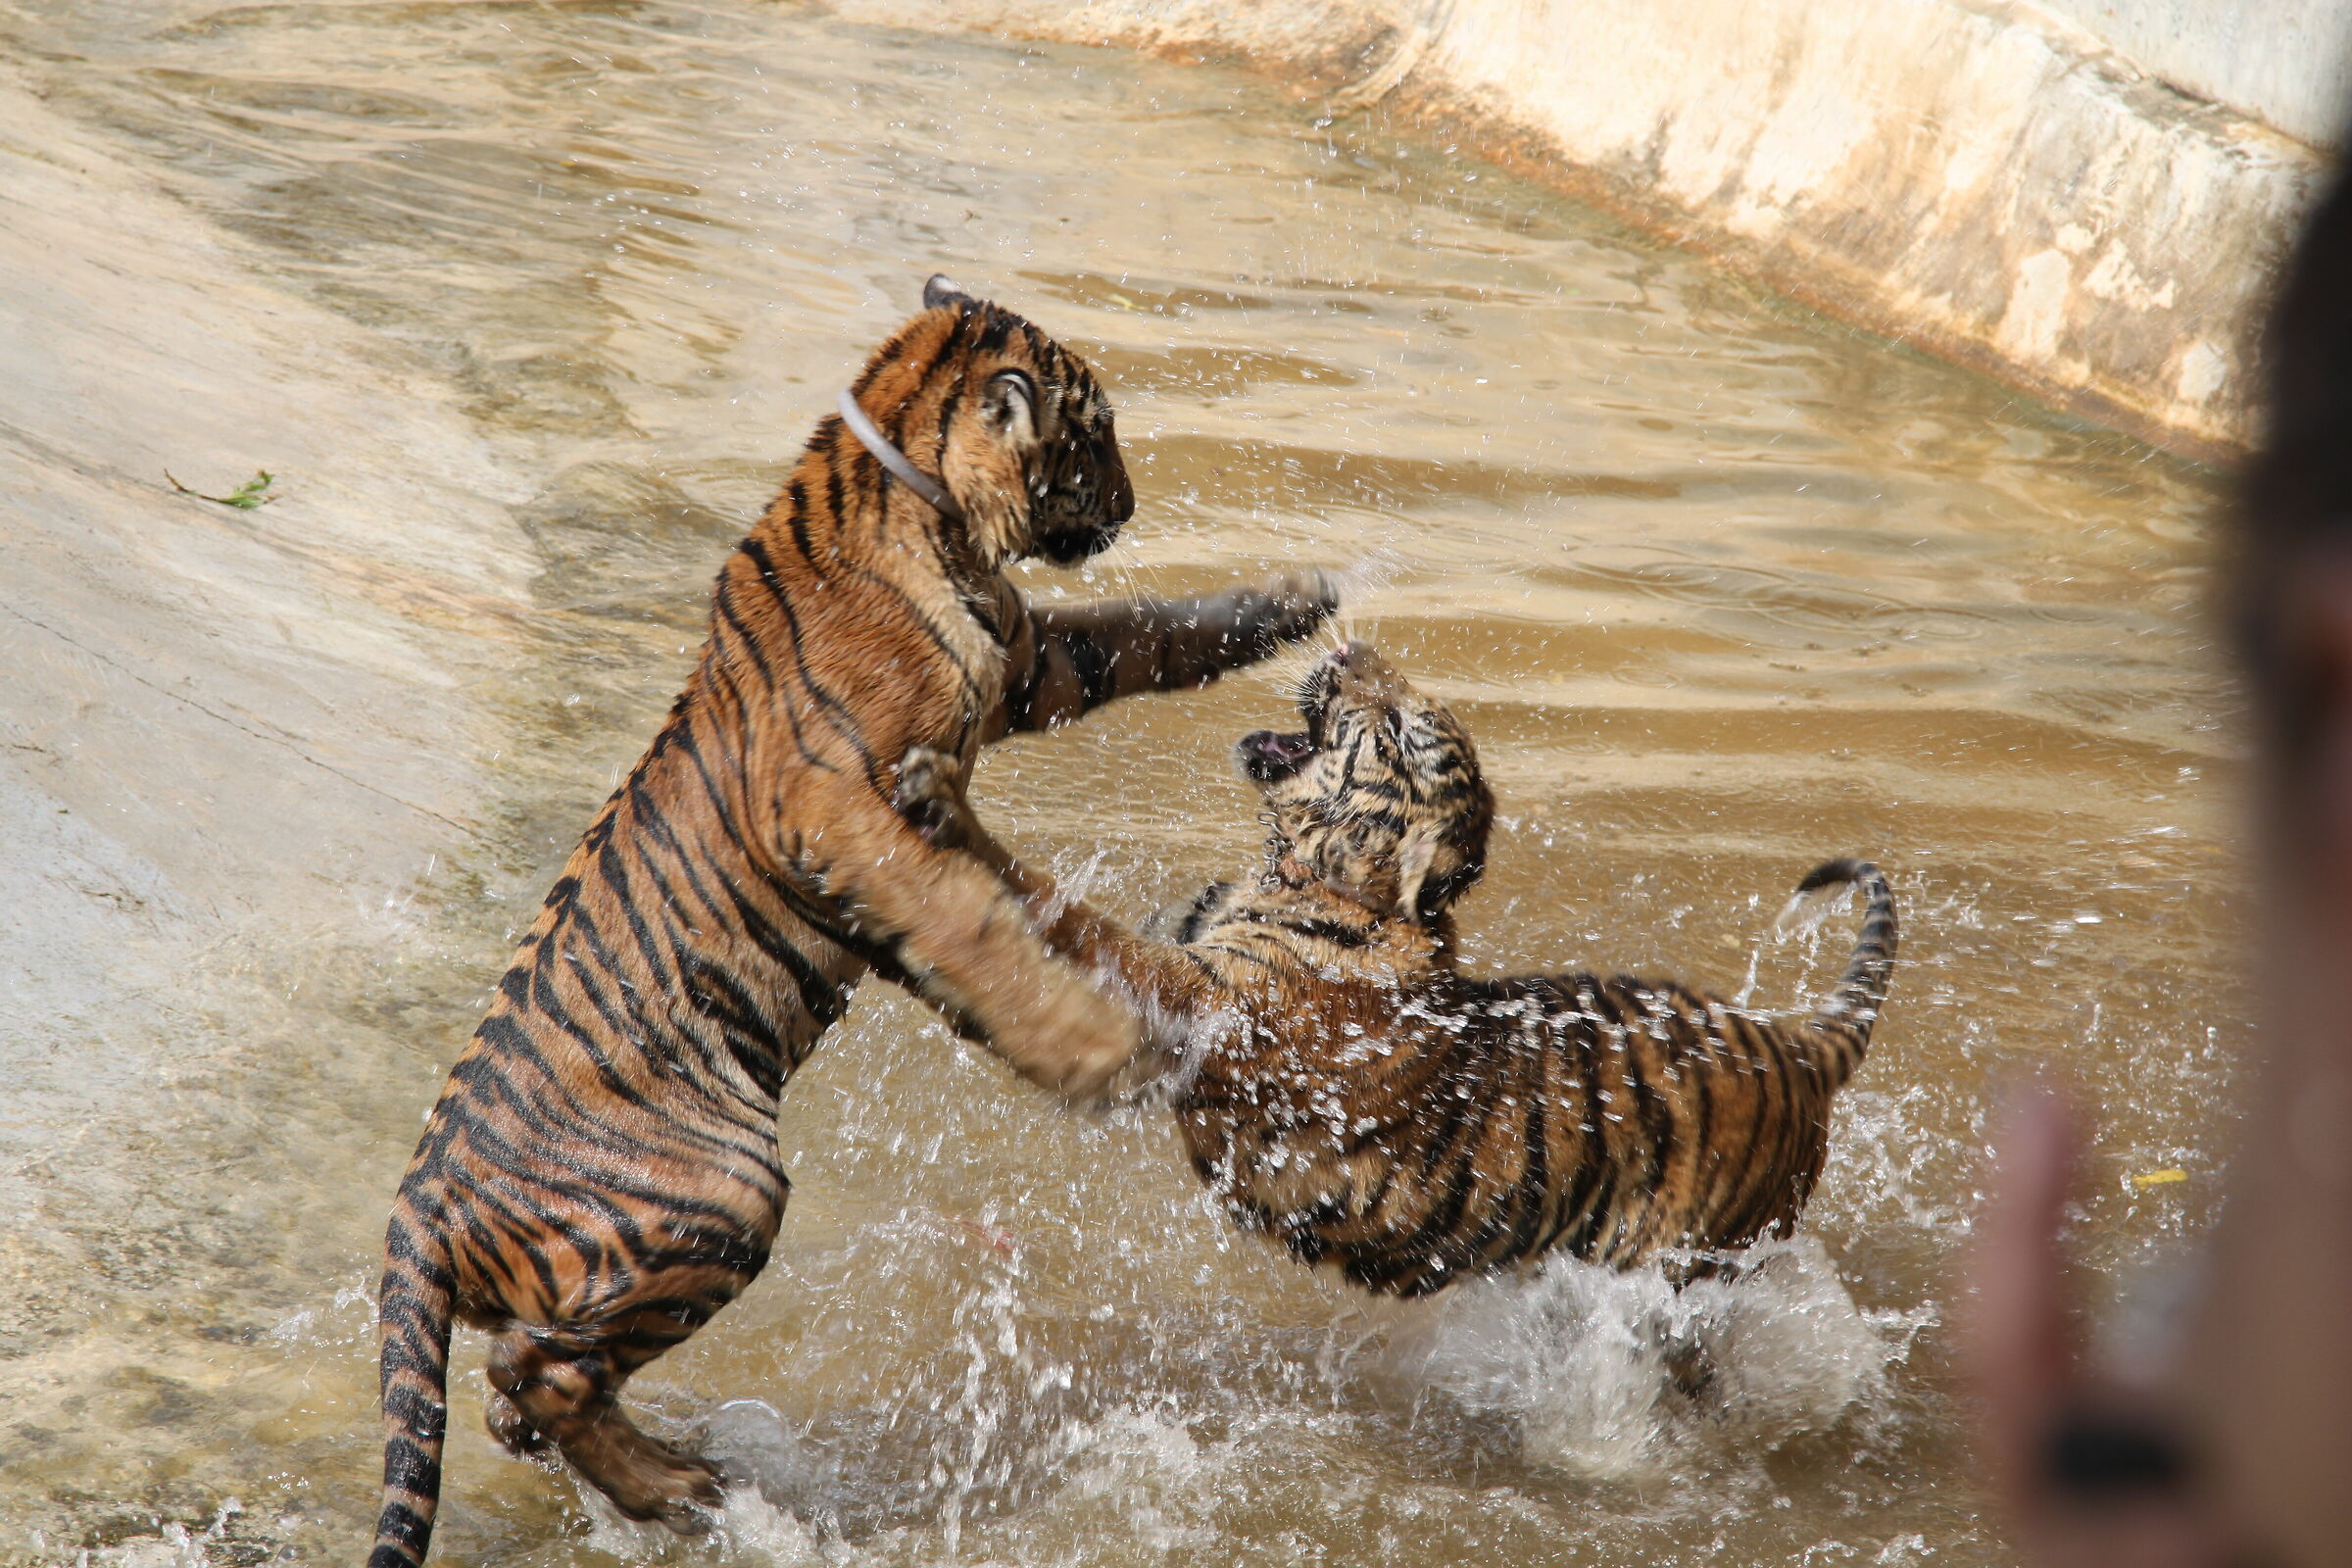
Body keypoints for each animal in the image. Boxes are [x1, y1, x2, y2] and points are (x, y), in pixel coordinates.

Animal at [368, 275, 1337, 1567]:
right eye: (1096, 439)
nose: (1132, 504)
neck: (922, 503)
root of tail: (420, 1208)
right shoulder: (841, 815)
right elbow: (972, 924)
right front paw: (1105, 1054)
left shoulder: (1032, 655)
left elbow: (1150, 627)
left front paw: (1294, 597)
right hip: (721, 1192)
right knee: (530, 1373)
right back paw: (681, 1488)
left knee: (525, 1391)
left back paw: (669, 1483)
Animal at [891, 638, 1898, 1300]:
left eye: (1401, 731)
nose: (1349, 644)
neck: (1309, 875)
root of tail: (1796, 1044)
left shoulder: (1192, 1001)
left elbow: (1061, 906)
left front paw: (944, 799)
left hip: (1697, 1265)